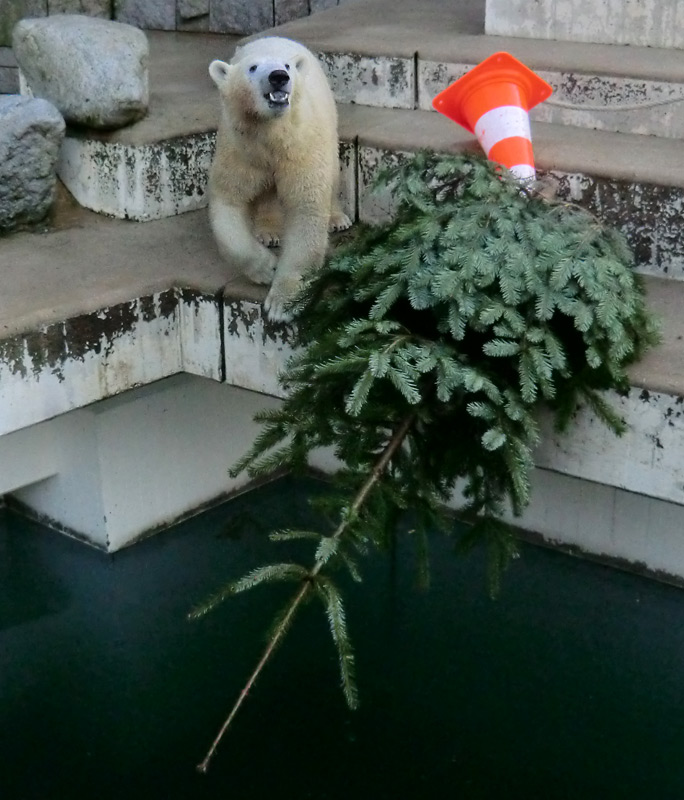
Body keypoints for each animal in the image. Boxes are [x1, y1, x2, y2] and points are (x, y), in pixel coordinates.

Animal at [208, 36, 350, 318]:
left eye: (286, 66)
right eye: (252, 67)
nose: (278, 77)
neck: (271, 134)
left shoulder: (301, 148)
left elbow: (306, 209)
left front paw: (282, 304)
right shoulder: (240, 150)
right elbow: (228, 204)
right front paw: (266, 268)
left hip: (328, 121)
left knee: (332, 170)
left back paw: (337, 218)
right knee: (266, 192)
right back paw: (269, 231)